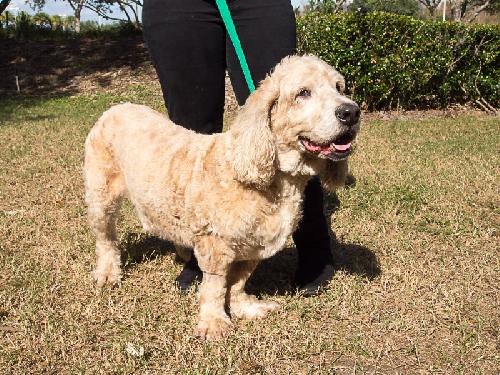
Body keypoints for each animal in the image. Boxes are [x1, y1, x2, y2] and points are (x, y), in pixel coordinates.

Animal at [84, 55, 362, 340]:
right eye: (303, 93)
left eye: (339, 87)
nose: (351, 112)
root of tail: (116, 107)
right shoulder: (216, 245)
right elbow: (216, 287)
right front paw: (214, 322)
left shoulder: (254, 246)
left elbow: (238, 282)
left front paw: (244, 308)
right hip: (101, 197)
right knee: (106, 240)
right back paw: (107, 273)